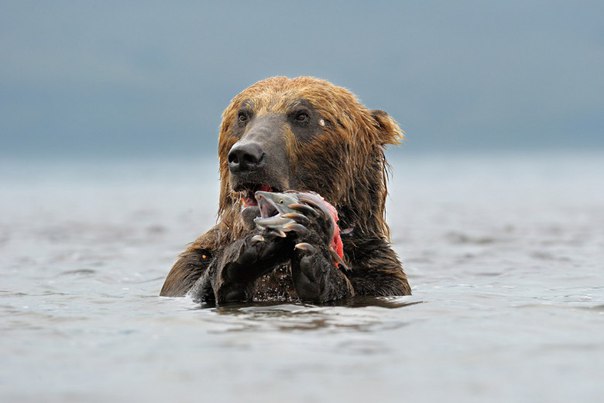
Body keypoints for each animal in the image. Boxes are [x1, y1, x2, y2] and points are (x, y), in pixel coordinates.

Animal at [160, 76, 412, 304]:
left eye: (301, 115)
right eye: (243, 114)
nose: (245, 155)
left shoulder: (380, 272)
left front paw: (314, 256)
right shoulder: (188, 268)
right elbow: (193, 283)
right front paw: (246, 255)